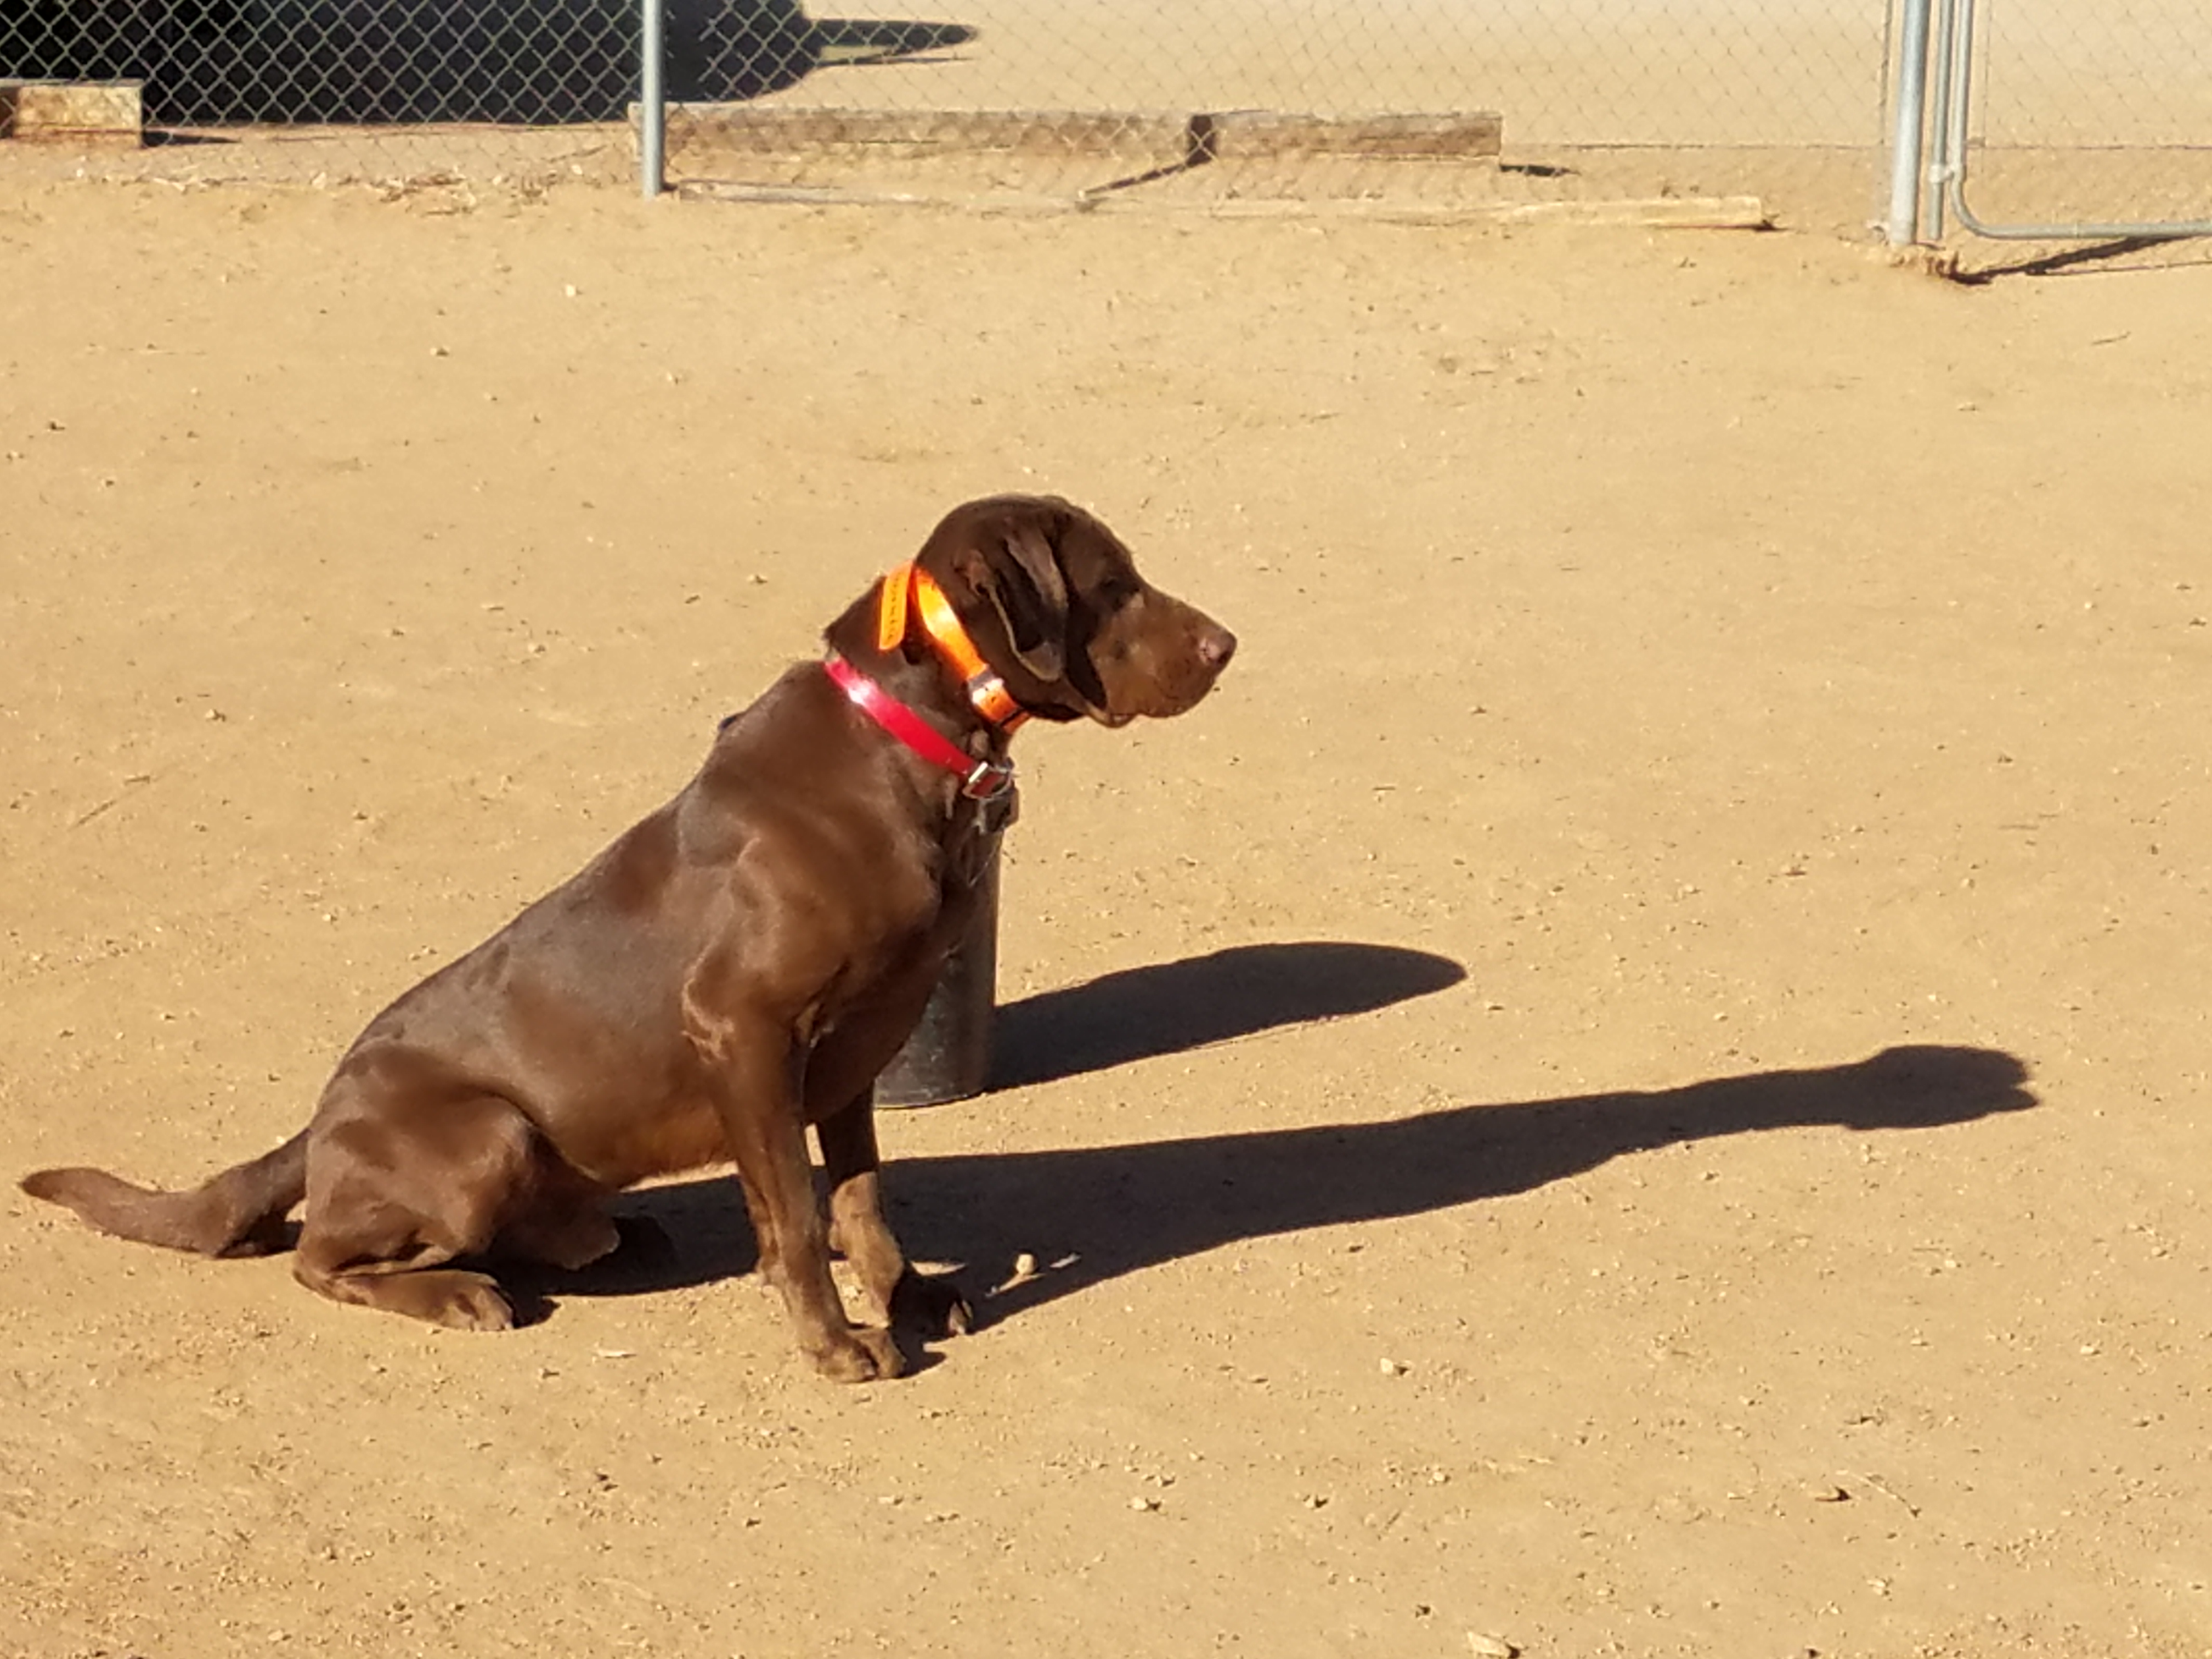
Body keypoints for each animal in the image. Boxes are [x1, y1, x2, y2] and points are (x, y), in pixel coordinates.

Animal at [21, 498, 1229, 1389]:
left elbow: (859, 1196)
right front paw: (838, 1342)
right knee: (321, 1257)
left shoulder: (857, 1049)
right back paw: (459, 1291)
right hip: (486, 1138)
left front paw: (908, 1294)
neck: (909, 741)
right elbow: (797, 1216)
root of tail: (317, 1122)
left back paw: (598, 1237)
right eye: (1113, 583)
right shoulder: (743, 1026)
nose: (1228, 644)